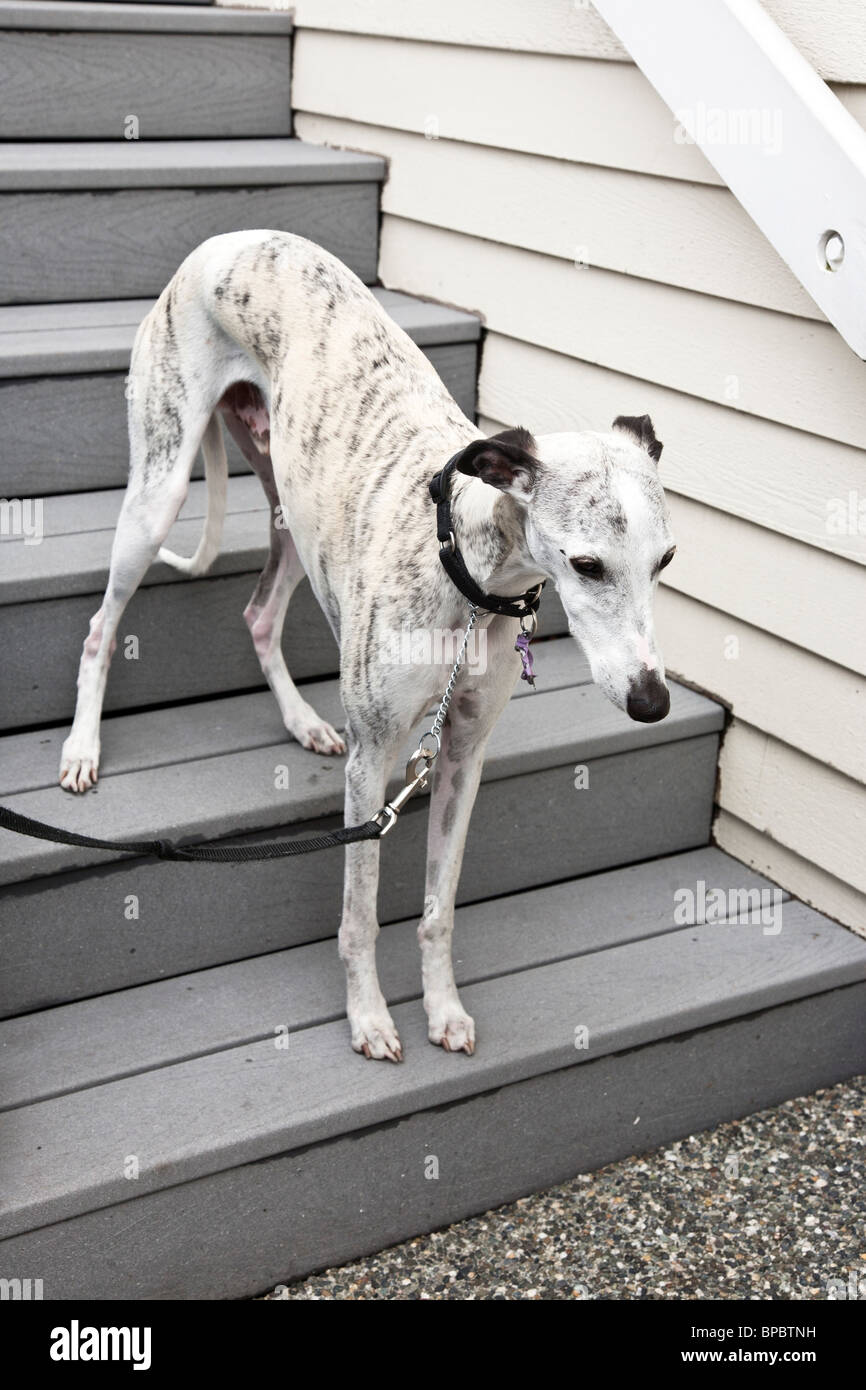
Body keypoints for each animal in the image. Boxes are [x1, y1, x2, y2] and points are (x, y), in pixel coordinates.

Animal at [61, 227, 678, 1056]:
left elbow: (438, 905)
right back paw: (82, 750)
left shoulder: (463, 754)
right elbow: (360, 910)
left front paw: (442, 1009)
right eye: (587, 564)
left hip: (294, 510)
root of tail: (228, 238)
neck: (468, 570)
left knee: (259, 613)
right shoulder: (373, 760)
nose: (652, 702)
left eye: (666, 560)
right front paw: (369, 1018)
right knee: (102, 627)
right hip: (157, 493)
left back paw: (301, 720)